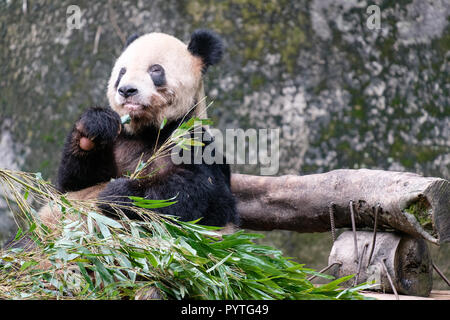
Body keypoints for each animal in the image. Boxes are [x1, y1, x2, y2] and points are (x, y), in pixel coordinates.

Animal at [39, 29, 239, 230]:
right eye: (122, 72)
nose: (127, 90)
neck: (148, 130)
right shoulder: (120, 138)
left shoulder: (191, 140)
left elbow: (205, 198)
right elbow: (73, 183)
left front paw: (118, 194)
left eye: (155, 70)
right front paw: (94, 127)